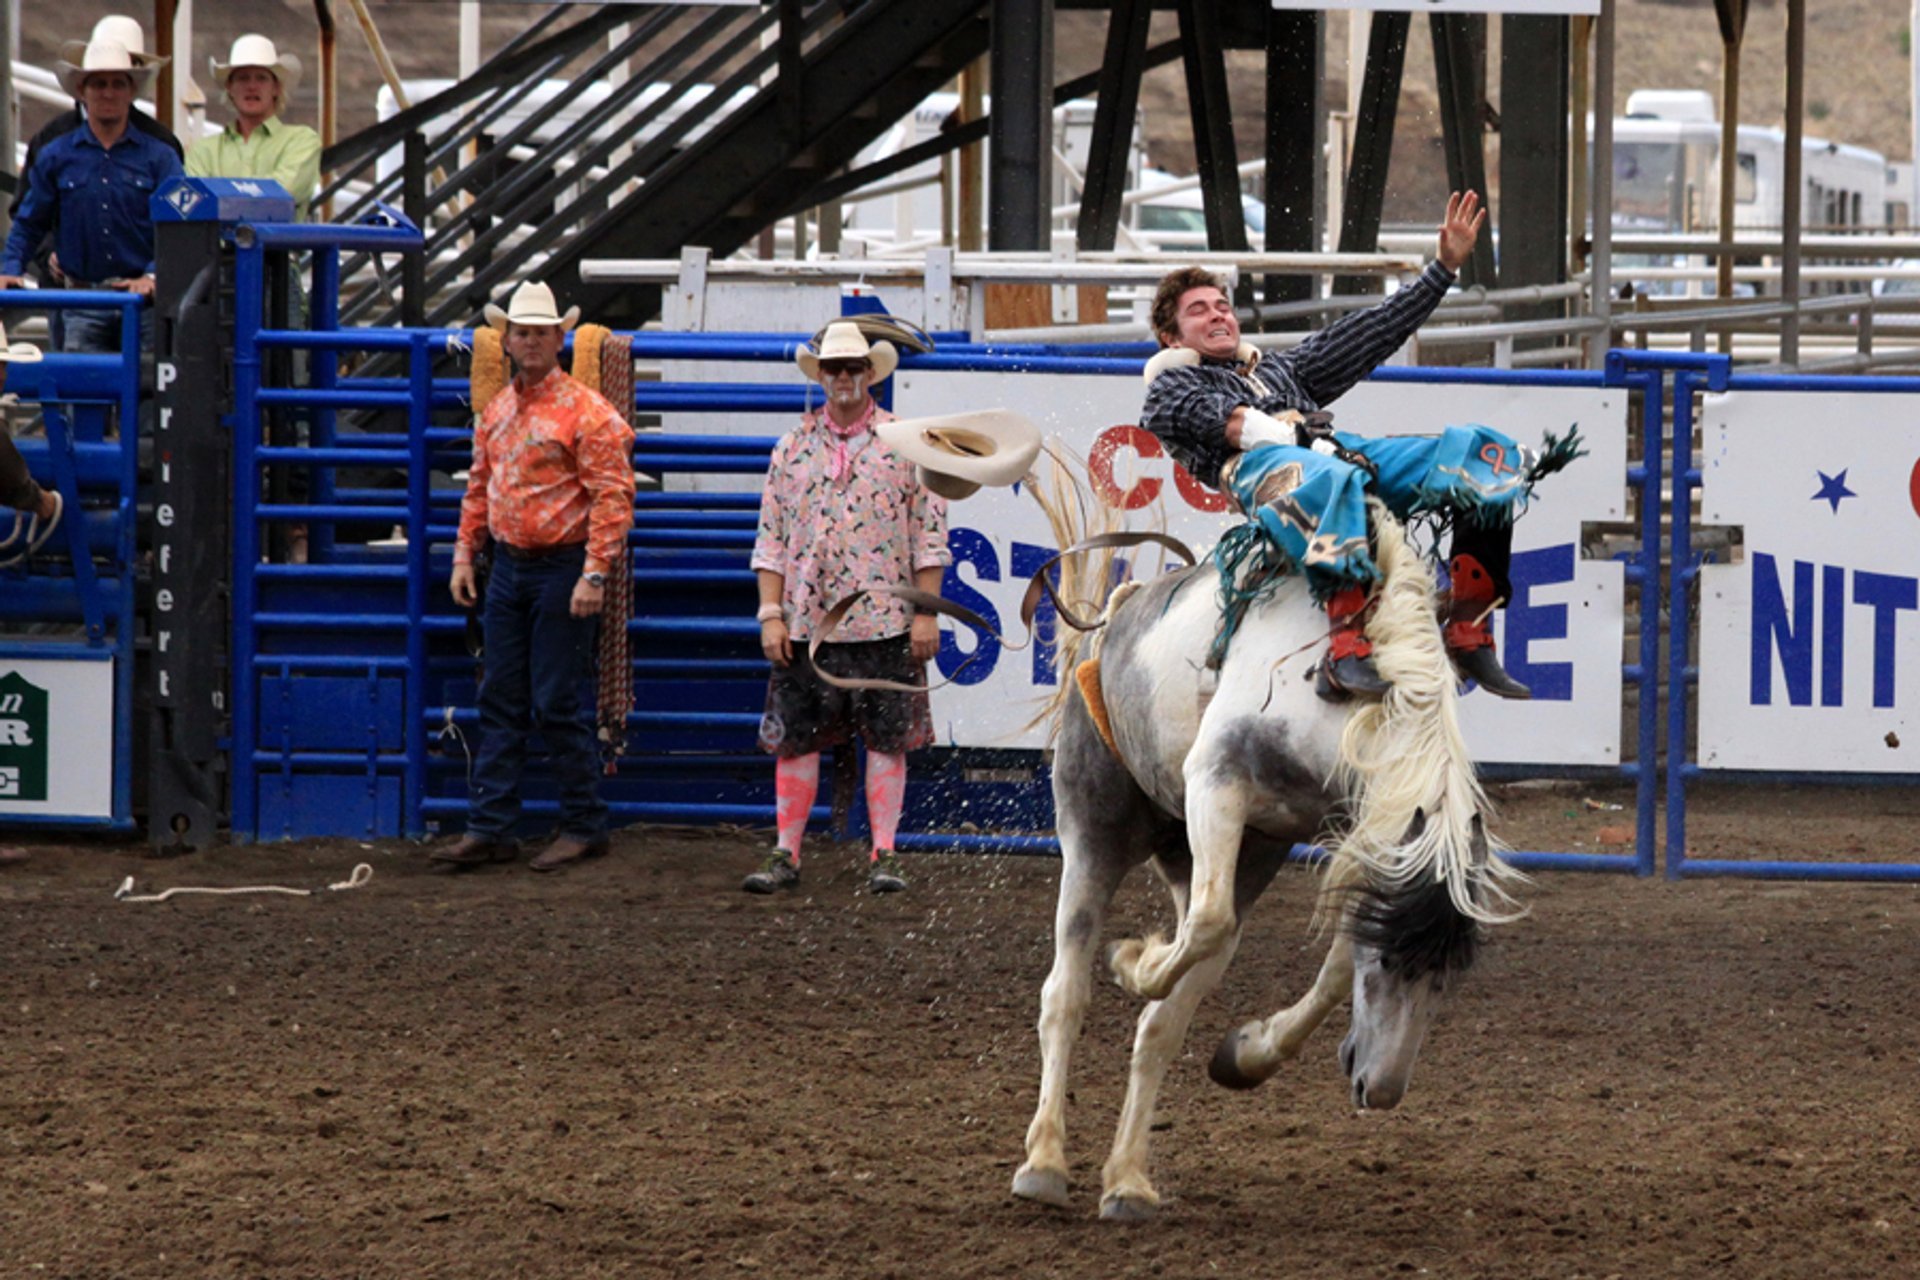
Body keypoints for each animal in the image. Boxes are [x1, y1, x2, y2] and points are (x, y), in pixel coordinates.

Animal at [1013, 502, 1520, 1220]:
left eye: (1449, 978)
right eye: (1390, 964)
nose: (1382, 1090)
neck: (1336, 694)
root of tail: (1121, 606)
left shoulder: (1356, 838)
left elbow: (1328, 968)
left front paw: (1246, 1054)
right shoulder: (1215, 781)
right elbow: (1208, 923)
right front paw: (1133, 960)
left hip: (1224, 858)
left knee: (1163, 1022)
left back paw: (1128, 1181)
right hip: (1094, 830)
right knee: (1066, 994)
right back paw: (1045, 1162)